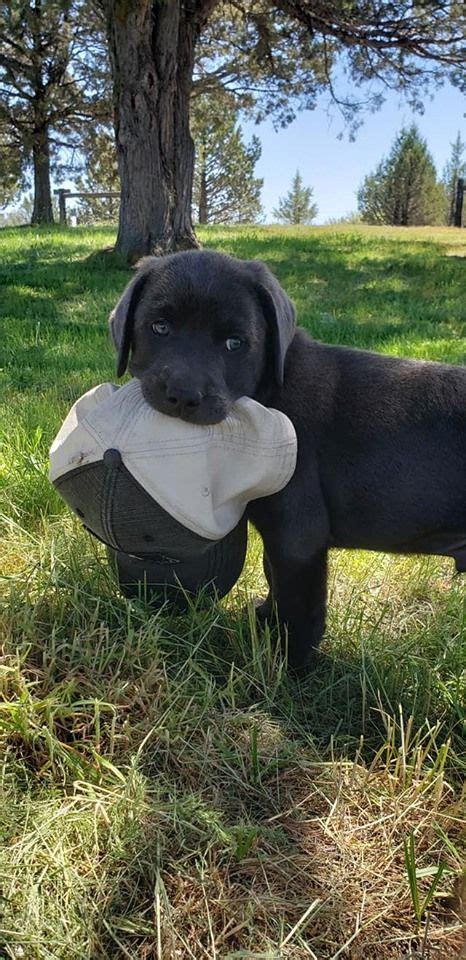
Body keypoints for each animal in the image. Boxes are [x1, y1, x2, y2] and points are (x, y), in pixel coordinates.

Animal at [108, 251, 466, 668]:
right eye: (160, 327)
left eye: (234, 343)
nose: (183, 395)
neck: (270, 394)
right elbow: (273, 579)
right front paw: (265, 621)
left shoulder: (298, 537)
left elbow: (298, 605)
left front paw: (287, 667)